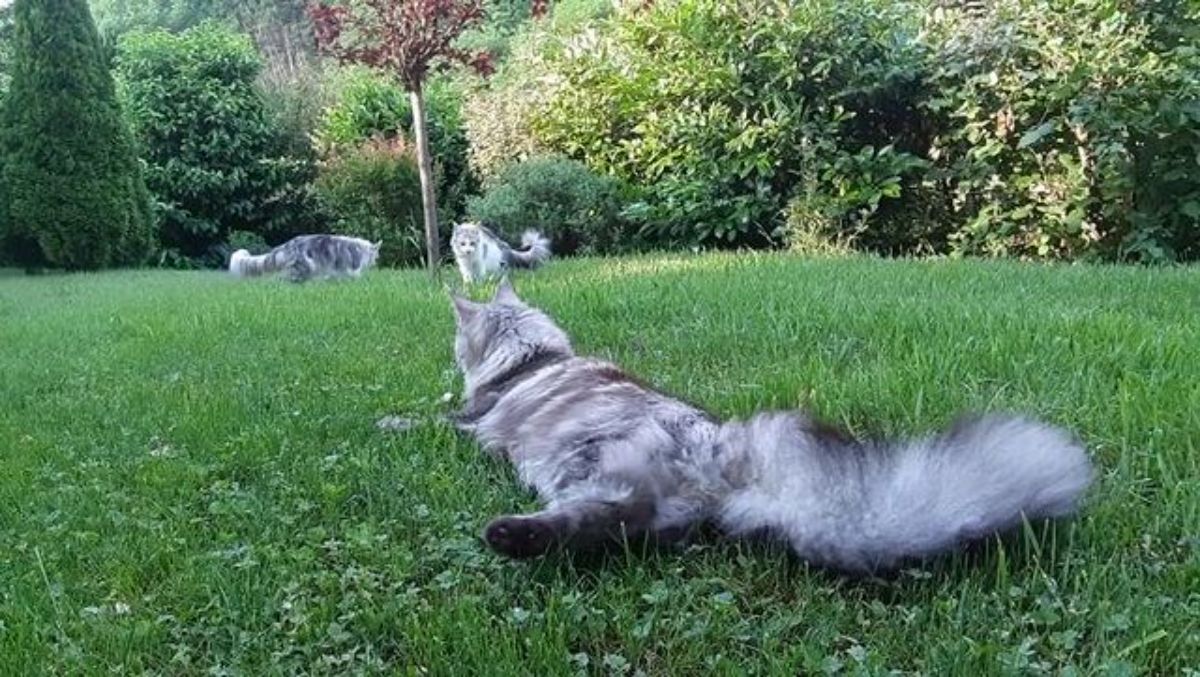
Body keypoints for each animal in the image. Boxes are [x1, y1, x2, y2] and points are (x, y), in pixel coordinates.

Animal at [228, 235, 379, 283]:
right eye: (376, 256)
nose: (375, 262)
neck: (361, 248)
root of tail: (286, 245)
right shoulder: (351, 267)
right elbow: (354, 276)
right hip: (306, 266)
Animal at [451, 277, 1099, 573]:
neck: (535, 357)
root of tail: (719, 451)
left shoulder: (470, 422)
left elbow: (441, 417)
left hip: (584, 466)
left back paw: (505, 535)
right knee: (613, 524)